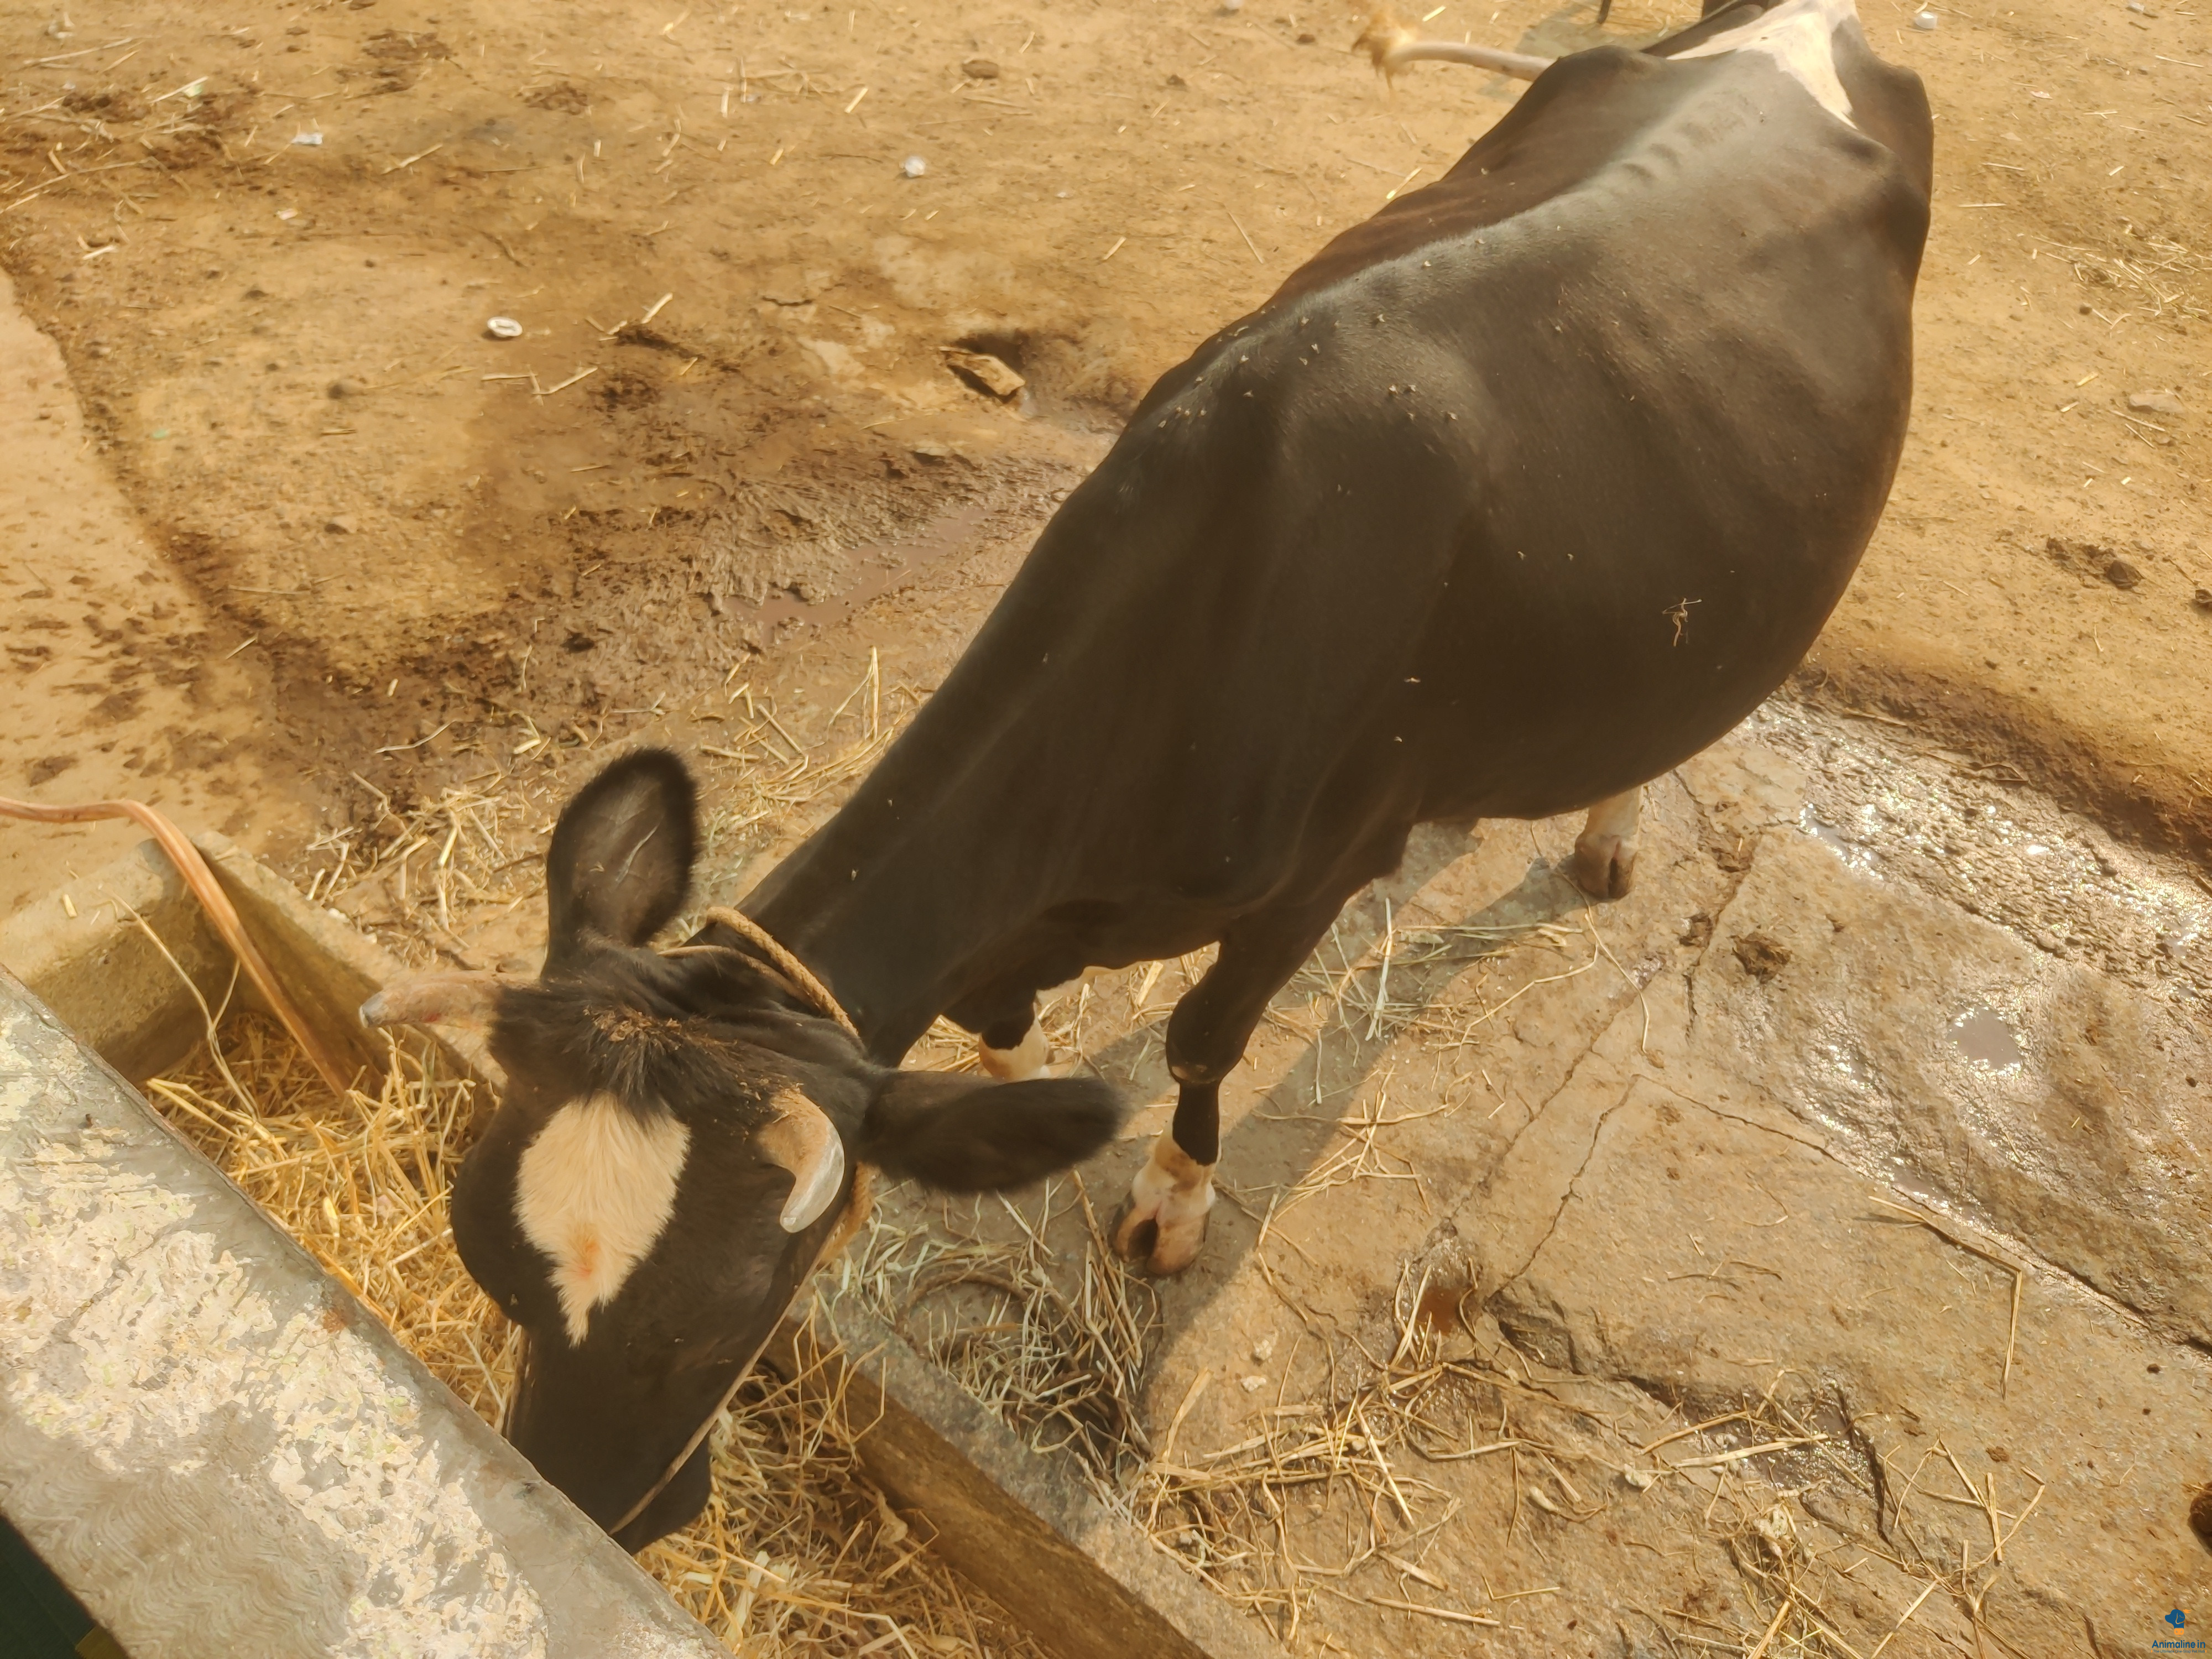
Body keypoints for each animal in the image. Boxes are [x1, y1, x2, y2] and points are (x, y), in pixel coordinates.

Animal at [364, 0, 1931, 1549]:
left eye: (720, 1317)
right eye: (480, 1255)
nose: (585, 1513)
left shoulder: (1308, 875)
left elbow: (1199, 1041)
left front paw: (1170, 1204)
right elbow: (999, 1023)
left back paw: (1605, 832)